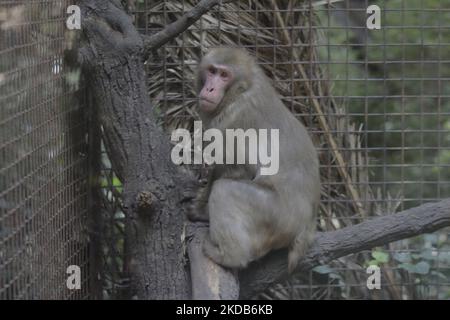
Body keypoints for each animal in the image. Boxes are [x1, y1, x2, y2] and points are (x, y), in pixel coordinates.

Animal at [189, 47, 320, 272]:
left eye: (224, 75)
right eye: (212, 71)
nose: (210, 88)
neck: (242, 90)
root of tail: (306, 227)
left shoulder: (235, 120)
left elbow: (240, 168)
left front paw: (203, 211)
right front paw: (200, 208)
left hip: (275, 216)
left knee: (225, 191)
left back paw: (230, 256)